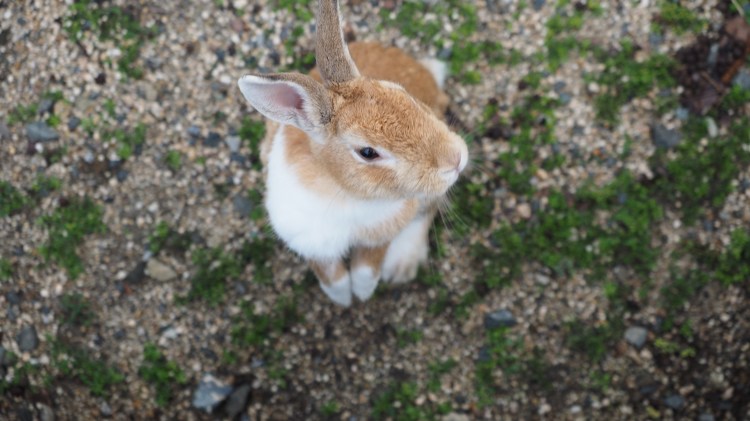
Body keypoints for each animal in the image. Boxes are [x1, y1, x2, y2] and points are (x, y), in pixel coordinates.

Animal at [237, 0, 468, 306]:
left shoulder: (381, 233)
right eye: (368, 152)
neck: (344, 191)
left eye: (403, 93)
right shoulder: (309, 241)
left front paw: (362, 293)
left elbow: (366, 268)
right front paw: (343, 300)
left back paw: (401, 267)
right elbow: (330, 276)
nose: (456, 159)